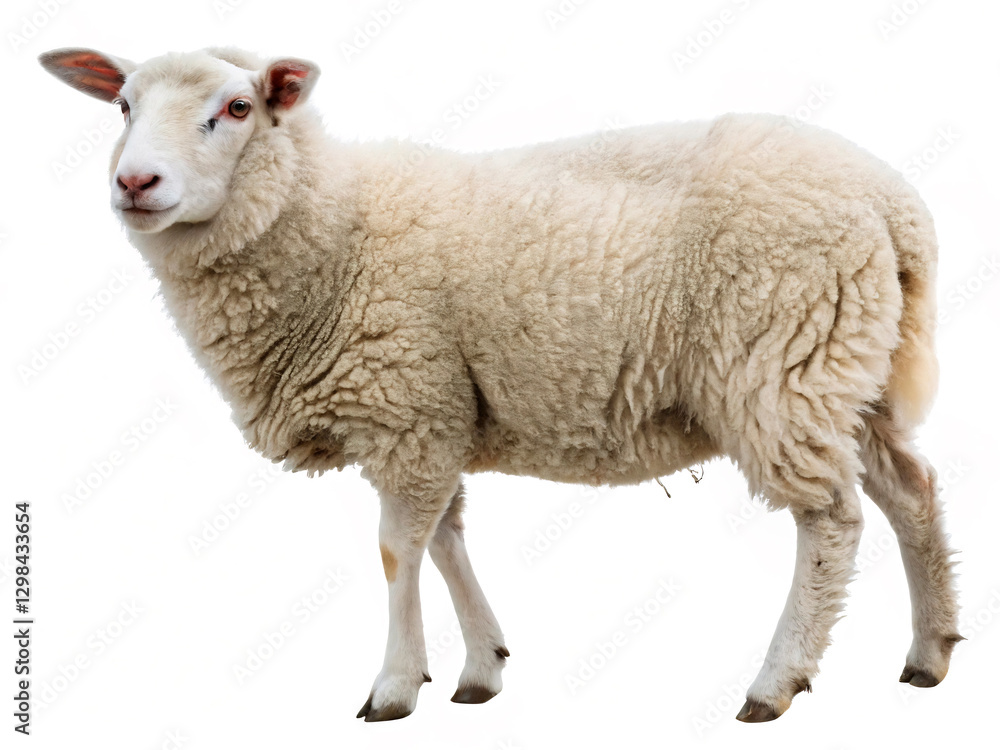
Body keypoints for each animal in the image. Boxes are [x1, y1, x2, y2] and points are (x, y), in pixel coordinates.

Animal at [38, 45, 962, 723]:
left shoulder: (406, 404)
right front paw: (482, 667)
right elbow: (445, 536)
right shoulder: (438, 410)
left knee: (832, 519)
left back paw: (776, 681)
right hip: (852, 361)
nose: (135, 182)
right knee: (910, 488)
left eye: (236, 109)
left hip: (781, 362)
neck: (331, 226)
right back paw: (930, 651)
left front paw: (394, 687)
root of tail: (896, 206)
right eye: (122, 106)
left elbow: (397, 549)